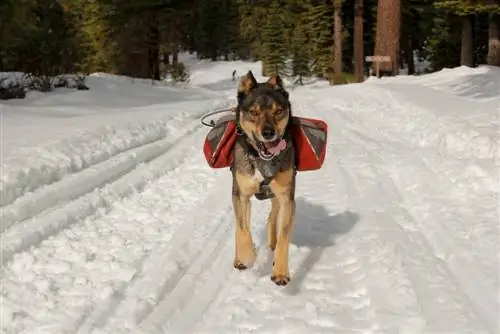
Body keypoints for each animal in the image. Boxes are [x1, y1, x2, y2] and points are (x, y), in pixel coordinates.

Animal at [231, 70, 296, 284]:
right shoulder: (240, 195)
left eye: (278, 111)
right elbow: (242, 229)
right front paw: (247, 256)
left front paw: (281, 271)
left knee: (272, 218)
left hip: (277, 198)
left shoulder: (287, 199)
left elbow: (284, 236)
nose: (268, 133)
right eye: (254, 112)